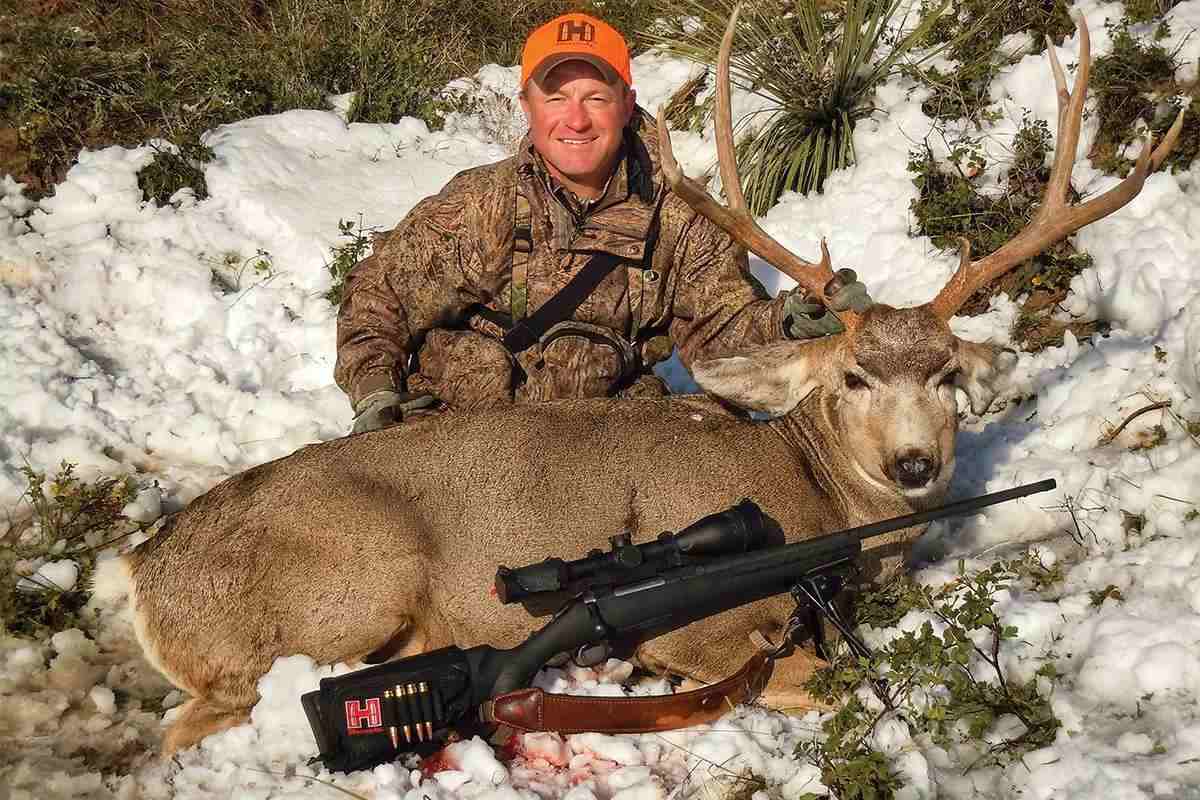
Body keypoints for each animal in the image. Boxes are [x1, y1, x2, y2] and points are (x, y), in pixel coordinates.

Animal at [111, 11, 1182, 757]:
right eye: (854, 375)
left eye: (949, 373)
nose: (917, 464)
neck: (815, 497)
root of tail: (142, 571)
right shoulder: (712, 635)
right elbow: (822, 675)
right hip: (355, 584)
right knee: (197, 722)